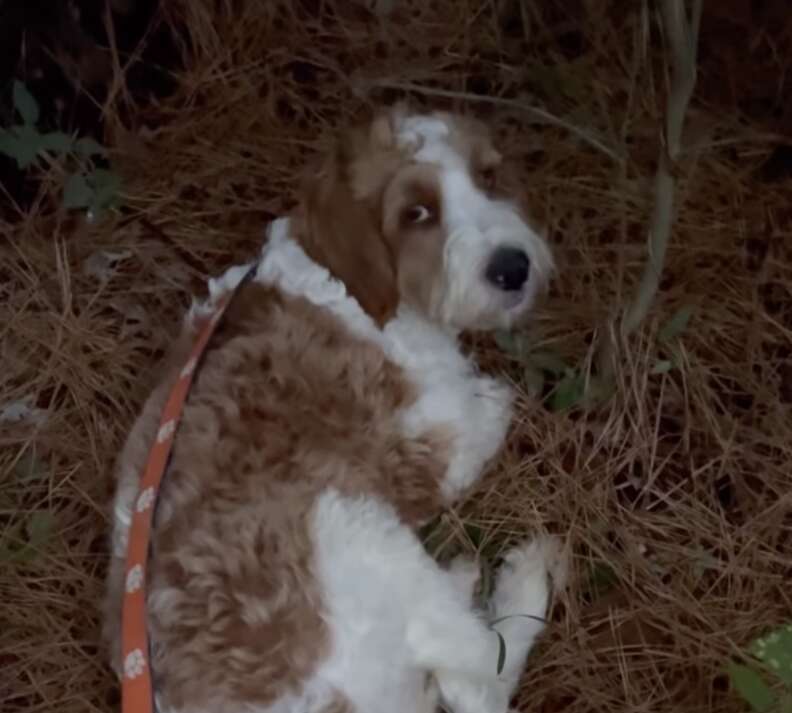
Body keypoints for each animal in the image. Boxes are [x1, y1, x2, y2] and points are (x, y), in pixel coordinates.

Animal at [105, 105, 564, 712]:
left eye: (488, 177)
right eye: (416, 213)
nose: (513, 268)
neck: (342, 282)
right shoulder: (433, 444)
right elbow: (490, 408)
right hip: (358, 528)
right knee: (486, 668)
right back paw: (525, 577)